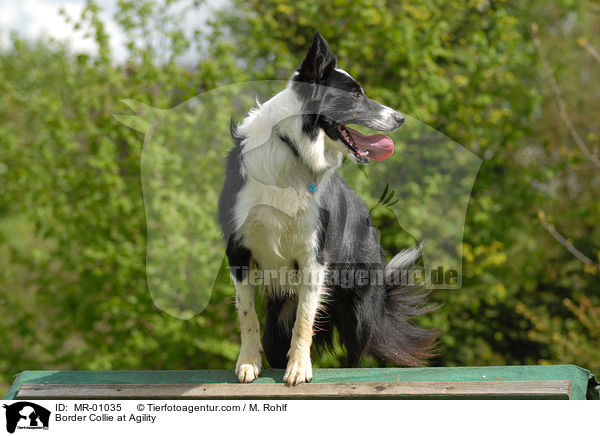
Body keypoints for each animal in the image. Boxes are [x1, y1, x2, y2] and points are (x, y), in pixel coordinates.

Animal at [219, 32, 436, 384]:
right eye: (355, 95)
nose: (401, 118)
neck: (293, 148)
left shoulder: (314, 256)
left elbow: (305, 317)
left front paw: (298, 368)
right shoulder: (238, 250)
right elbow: (247, 314)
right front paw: (248, 363)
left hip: (360, 311)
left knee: (354, 356)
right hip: (277, 324)